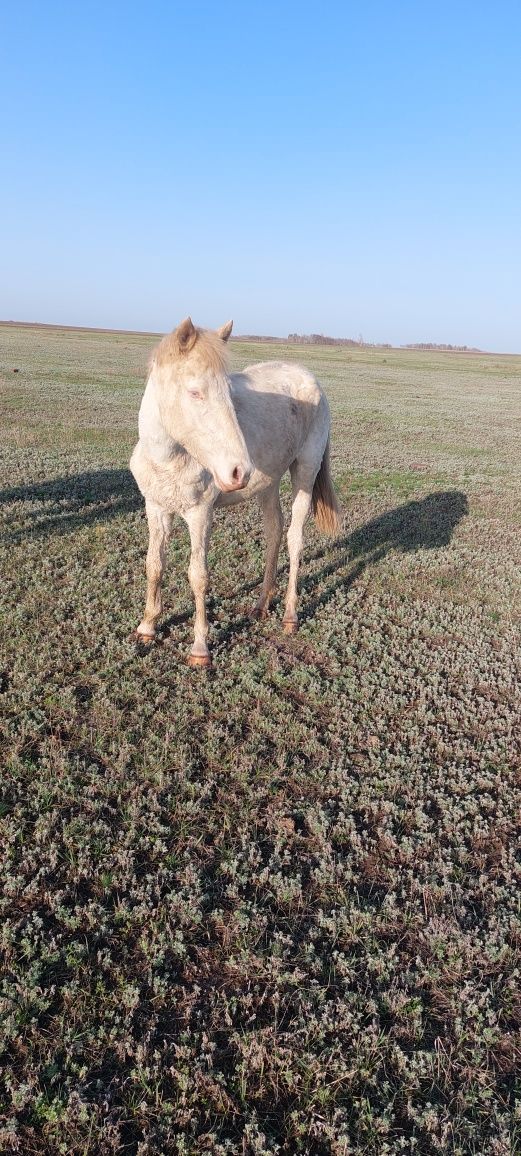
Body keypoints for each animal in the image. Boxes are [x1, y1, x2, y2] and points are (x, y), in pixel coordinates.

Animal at [129, 314, 339, 670]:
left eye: (228, 392)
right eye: (195, 392)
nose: (239, 471)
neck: (169, 458)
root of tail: (307, 376)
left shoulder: (200, 514)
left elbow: (198, 575)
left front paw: (200, 648)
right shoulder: (156, 507)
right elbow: (154, 565)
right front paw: (147, 627)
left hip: (305, 472)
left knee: (294, 539)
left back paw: (289, 615)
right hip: (269, 483)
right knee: (274, 530)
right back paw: (260, 605)